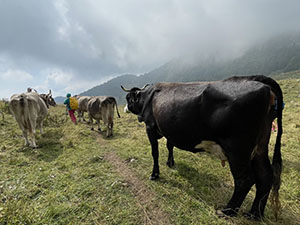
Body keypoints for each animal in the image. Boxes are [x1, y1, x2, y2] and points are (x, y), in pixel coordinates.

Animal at [120, 76, 282, 221]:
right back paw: (255, 214)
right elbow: (169, 146)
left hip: (237, 149)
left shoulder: (150, 128)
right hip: (259, 147)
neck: (147, 97)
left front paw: (155, 174)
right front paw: (170, 163)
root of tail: (262, 85)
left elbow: (155, 153)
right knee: (265, 176)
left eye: (128, 98)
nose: (125, 108)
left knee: (245, 179)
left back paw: (227, 210)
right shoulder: (169, 131)